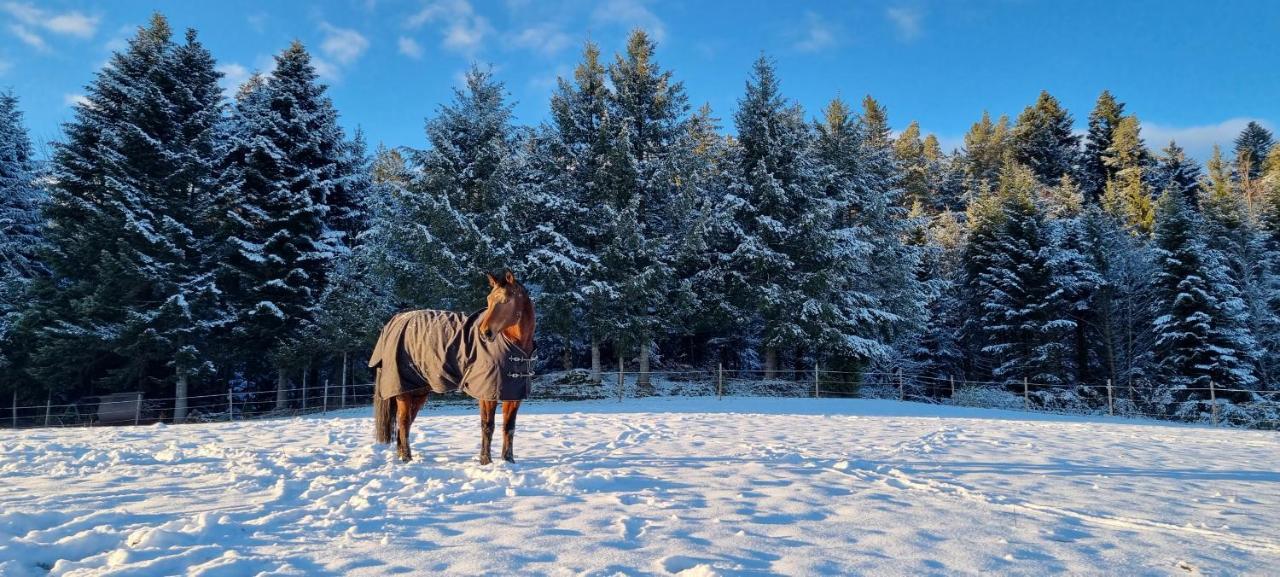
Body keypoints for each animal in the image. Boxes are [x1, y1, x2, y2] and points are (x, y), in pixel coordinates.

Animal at [371, 271, 535, 465]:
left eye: (506, 300)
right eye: (488, 300)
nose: (484, 332)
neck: (513, 345)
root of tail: (396, 320)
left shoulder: (514, 395)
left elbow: (509, 428)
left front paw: (508, 461)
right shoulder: (486, 394)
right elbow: (487, 426)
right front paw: (485, 461)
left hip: (418, 392)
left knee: (406, 423)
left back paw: (403, 456)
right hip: (403, 390)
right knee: (403, 422)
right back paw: (407, 458)